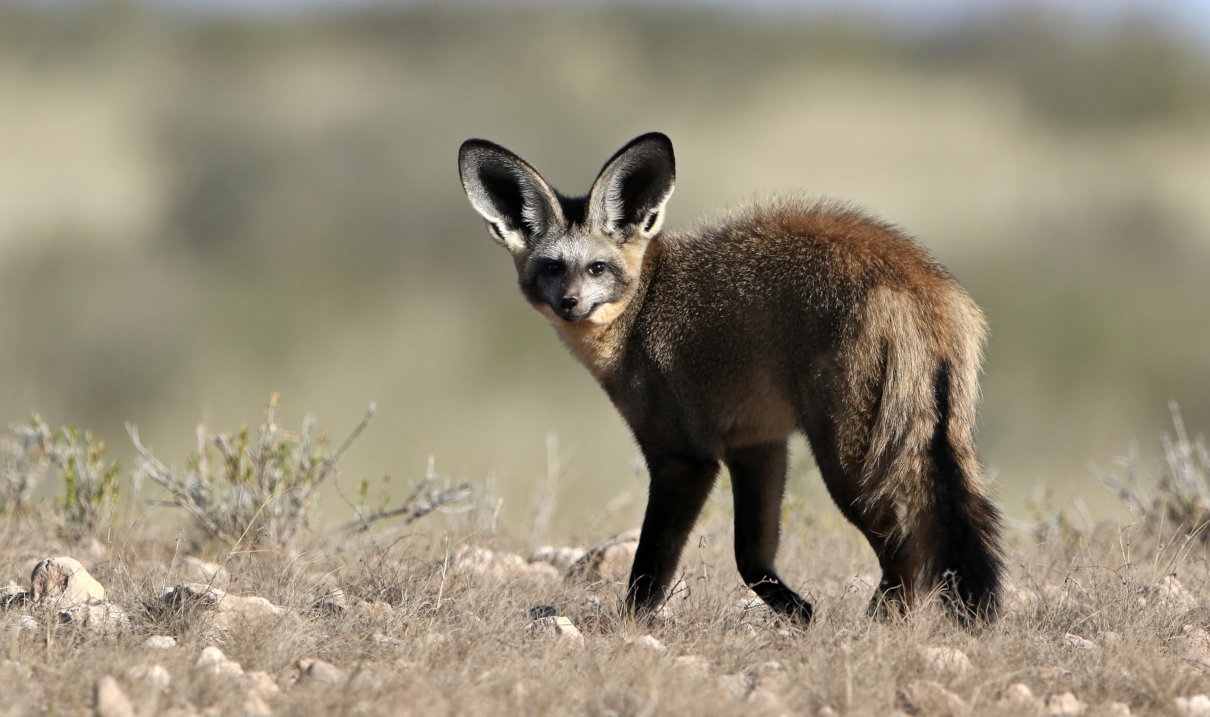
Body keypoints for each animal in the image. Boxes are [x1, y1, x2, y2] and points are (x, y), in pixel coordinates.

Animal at [454, 131, 1001, 623]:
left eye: (597, 269)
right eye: (551, 267)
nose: (568, 303)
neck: (643, 310)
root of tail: (915, 276)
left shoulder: (684, 458)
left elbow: (649, 571)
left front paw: (626, 630)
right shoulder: (757, 444)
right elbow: (750, 559)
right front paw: (799, 614)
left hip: (850, 462)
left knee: (908, 545)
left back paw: (876, 627)